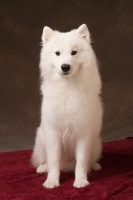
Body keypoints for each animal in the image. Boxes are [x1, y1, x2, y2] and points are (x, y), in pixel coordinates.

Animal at [32, 24, 103, 188]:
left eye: (74, 52)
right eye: (57, 53)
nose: (65, 66)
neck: (68, 87)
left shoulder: (83, 134)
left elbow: (81, 162)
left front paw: (81, 180)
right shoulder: (53, 134)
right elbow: (53, 161)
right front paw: (51, 181)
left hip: (96, 142)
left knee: (90, 160)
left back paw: (94, 165)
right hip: (41, 139)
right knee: (45, 159)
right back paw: (43, 167)